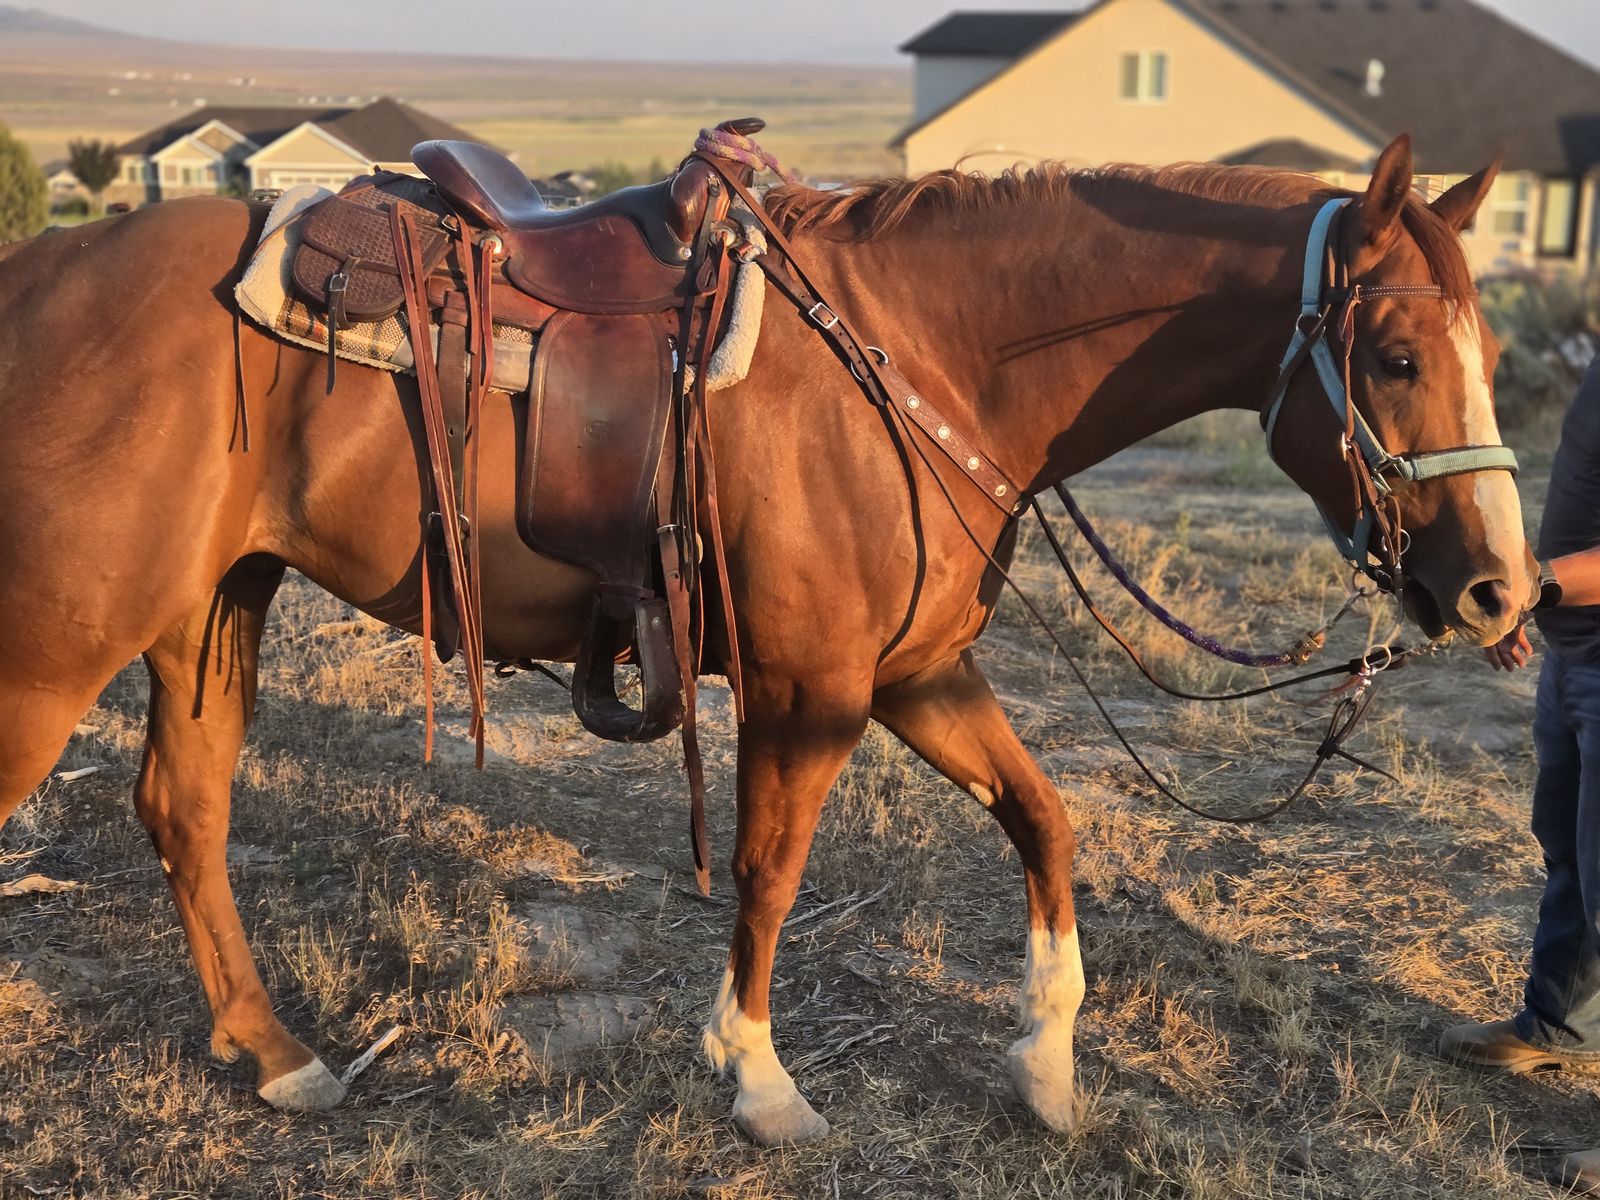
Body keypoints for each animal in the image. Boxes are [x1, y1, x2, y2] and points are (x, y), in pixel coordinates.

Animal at [0, 132, 1531, 1145]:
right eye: (1396, 358)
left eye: (1495, 359)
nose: (1498, 594)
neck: (924, 354)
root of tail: (35, 279)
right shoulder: (814, 692)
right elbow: (770, 872)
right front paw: (758, 1077)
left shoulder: (917, 673)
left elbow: (1045, 821)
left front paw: (1046, 1065)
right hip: (57, 650)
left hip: (212, 607)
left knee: (186, 810)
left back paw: (273, 1053)